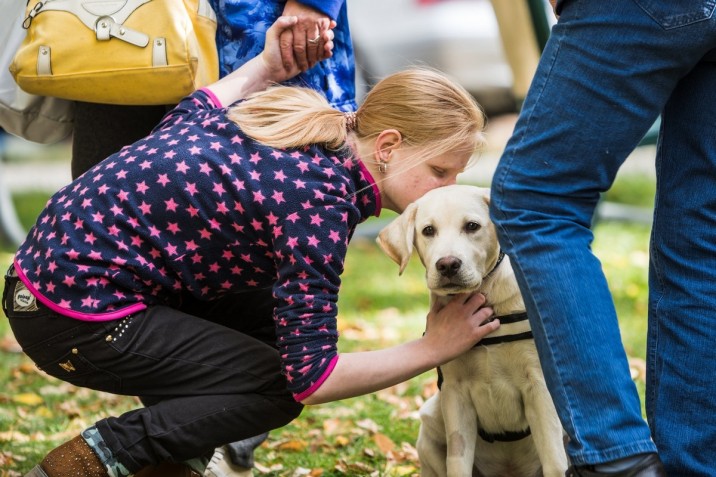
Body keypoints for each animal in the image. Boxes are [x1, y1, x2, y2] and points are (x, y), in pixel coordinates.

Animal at [378, 184, 568, 474]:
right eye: (428, 230)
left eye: (472, 226)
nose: (447, 264)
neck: (486, 297)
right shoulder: (455, 395)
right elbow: (457, 463)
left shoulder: (539, 389)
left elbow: (555, 463)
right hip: (430, 424)